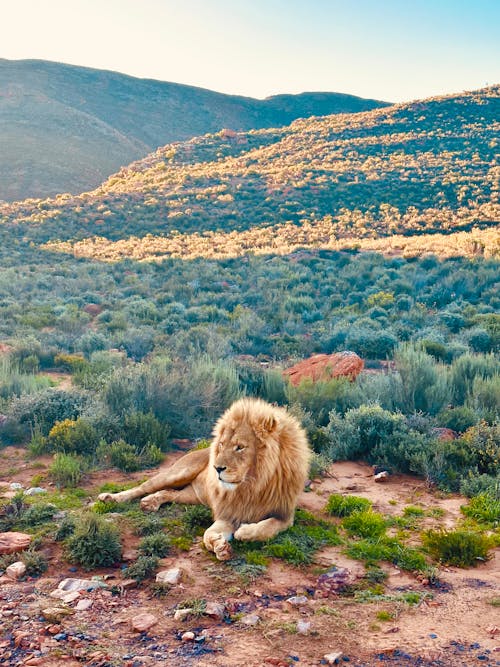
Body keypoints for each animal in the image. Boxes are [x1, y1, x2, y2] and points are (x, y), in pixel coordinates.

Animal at [96, 400, 310, 560]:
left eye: (240, 447)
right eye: (222, 444)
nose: (216, 468)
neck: (252, 486)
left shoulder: (285, 515)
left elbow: (268, 526)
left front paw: (243, 532)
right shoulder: (229, 513)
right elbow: (208, 534)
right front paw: (219, 545)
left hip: (194, 496)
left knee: (168, 493)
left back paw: (150, 503)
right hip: (177, 473)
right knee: (143, 487)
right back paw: (110, 498)